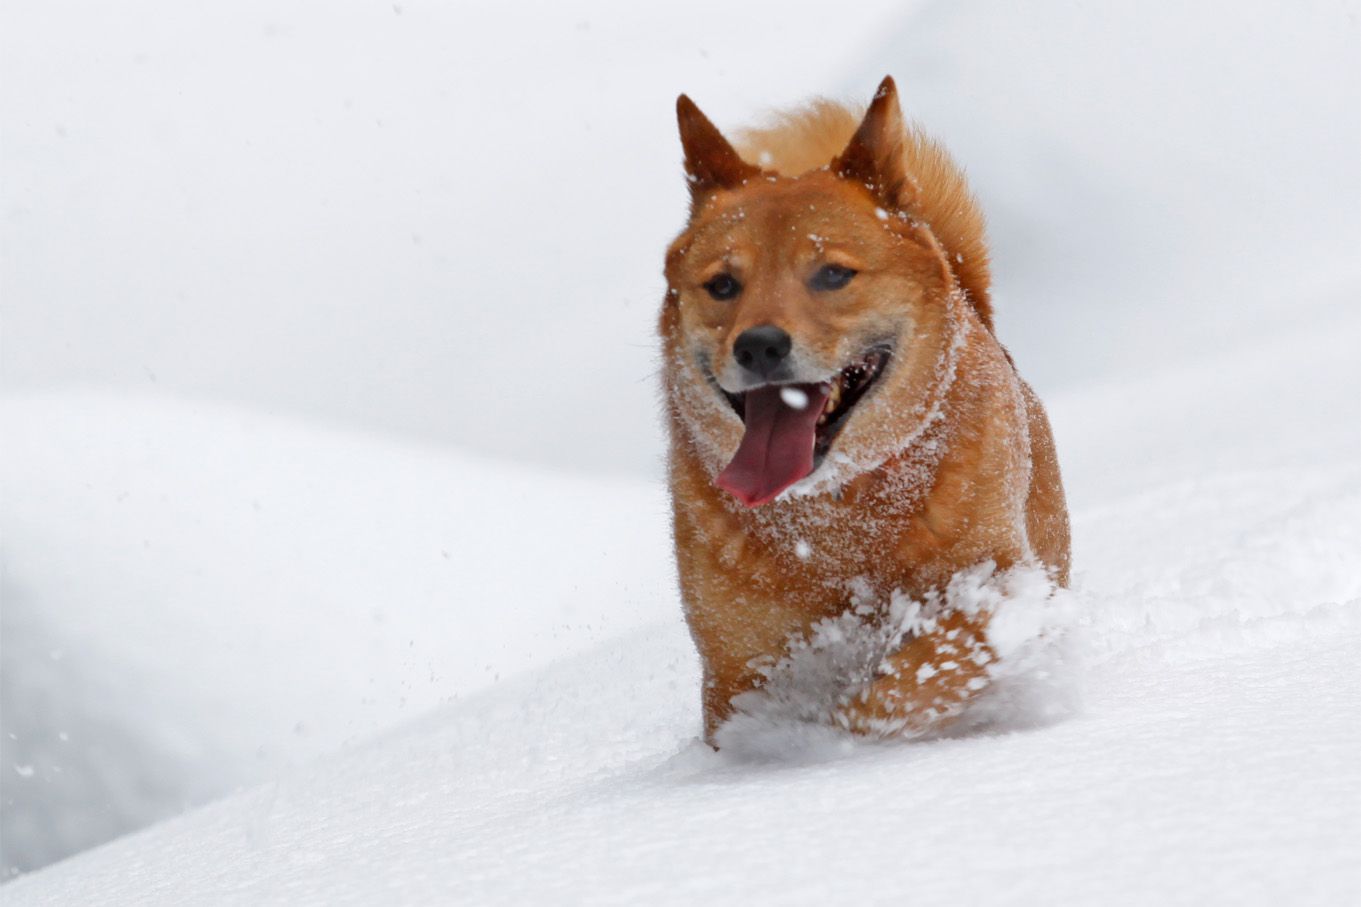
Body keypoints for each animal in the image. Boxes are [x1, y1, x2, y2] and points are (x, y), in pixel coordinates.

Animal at [661, 77, 1072, 740]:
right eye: (722, 285)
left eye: (833, 274)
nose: (759, 345)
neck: (842, 519)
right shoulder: (735, 672)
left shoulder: (1000, 588)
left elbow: (908, 681)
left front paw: (840, 735)